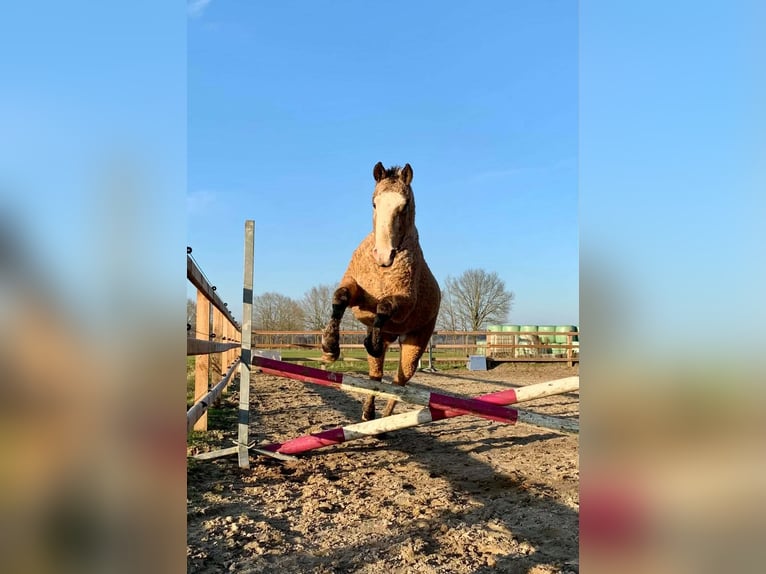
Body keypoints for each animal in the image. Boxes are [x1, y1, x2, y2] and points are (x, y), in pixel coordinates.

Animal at [321, 162, 441, 421]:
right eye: (374, 203)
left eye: (404, 205)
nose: (384, 255)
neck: (382, 271)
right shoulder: (358, 292)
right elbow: (340, 297)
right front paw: (330, 348)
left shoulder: (403, 303)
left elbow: (384, 306)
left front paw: (367, 342)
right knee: (376, 376)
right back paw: (368, 413)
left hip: (415, 343)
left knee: (399, 382)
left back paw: (386, 419)